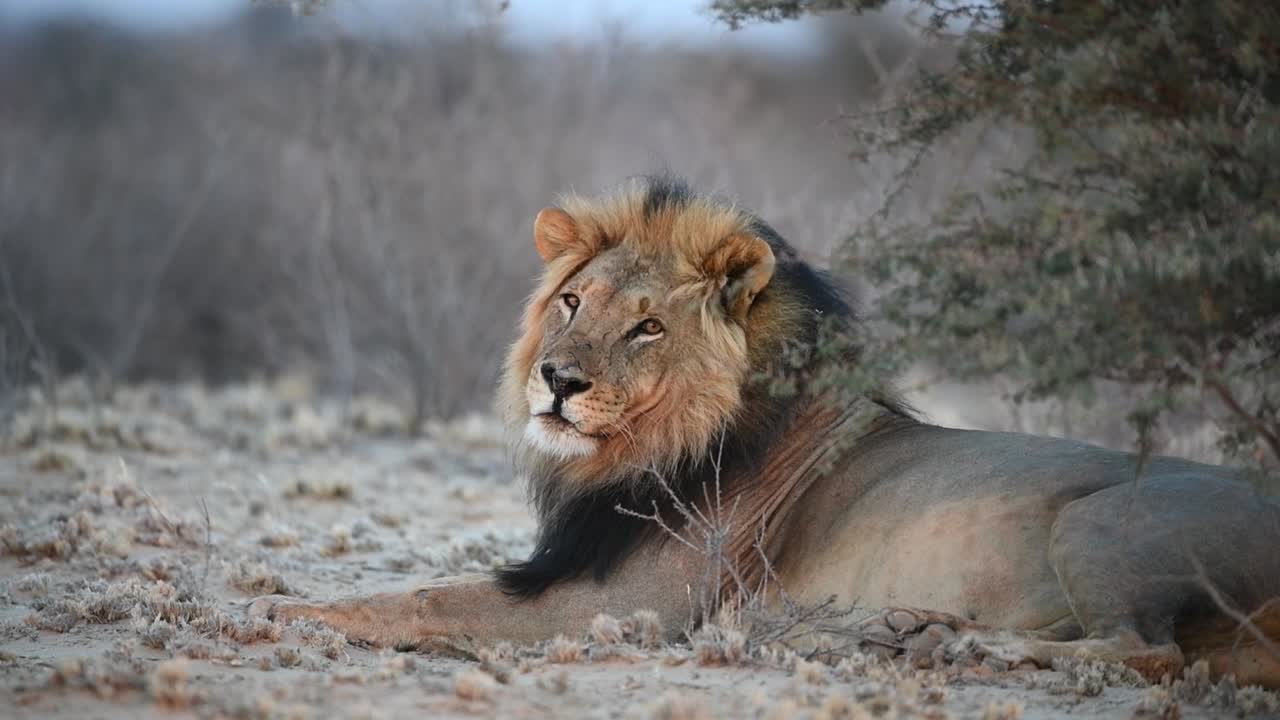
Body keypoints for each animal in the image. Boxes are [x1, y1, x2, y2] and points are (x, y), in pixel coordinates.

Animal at [252, 176, 1280, 687]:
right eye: (573, 303)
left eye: (647, 326)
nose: (557, 381)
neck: (651, 450)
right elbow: (421, 587)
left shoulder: (623, 611)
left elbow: (426, 598)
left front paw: (287, 615)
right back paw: (915, 630)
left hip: (1096, 523)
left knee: (1149, 649)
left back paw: (972, 650)